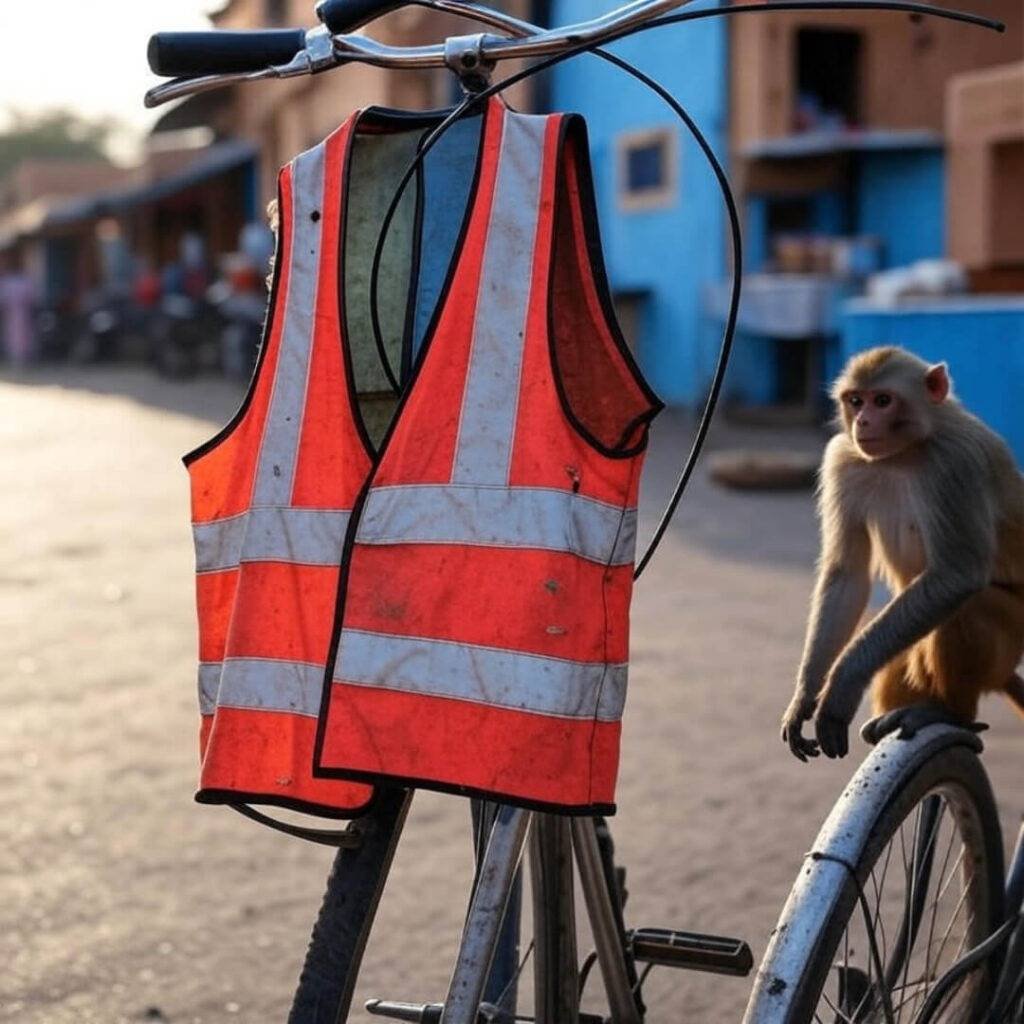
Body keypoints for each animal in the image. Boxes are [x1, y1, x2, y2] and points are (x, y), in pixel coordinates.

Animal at [781, 346, 1024, 761]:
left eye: (883, 400)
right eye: (856, 400)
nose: (863, 421)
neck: (904, 454)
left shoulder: (955, 463)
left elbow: (956, 575)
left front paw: (843, 683)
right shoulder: (843, 459)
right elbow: (847, 576)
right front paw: (805, 695)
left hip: (1013, 633)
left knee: (967, 607)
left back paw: (950, 712)